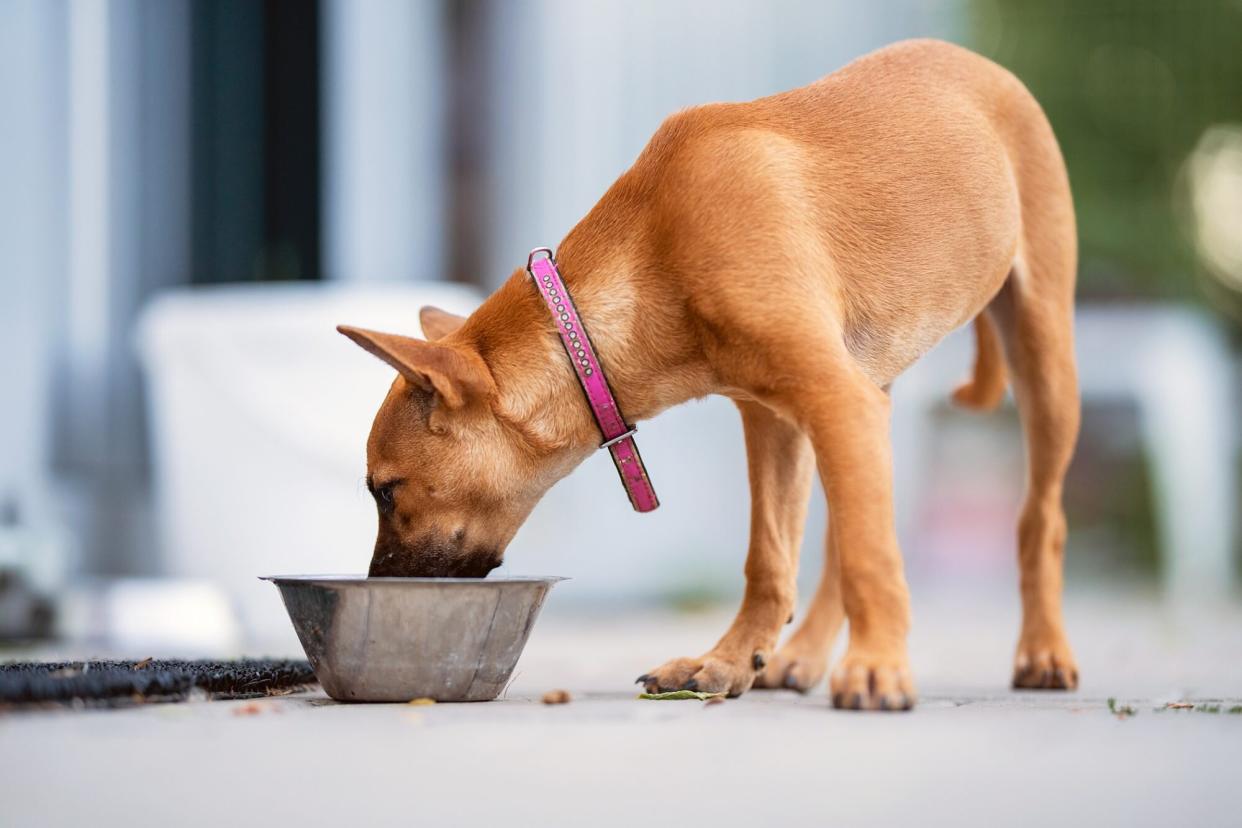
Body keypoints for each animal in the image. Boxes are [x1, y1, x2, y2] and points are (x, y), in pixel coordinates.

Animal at [337, 40, 1078, 715]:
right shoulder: (780, 419)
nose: (378, 582)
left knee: (1038, 520)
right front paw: (730, 660)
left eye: (385, 491)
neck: (653, 253)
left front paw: (877, 669)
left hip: (1042, 360)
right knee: (844, 534)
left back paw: (1041, 651)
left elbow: (871, 557)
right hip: (867, 395)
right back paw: (804, 656)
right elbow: (772, 559)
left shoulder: (832, 401)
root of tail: (975, 61)